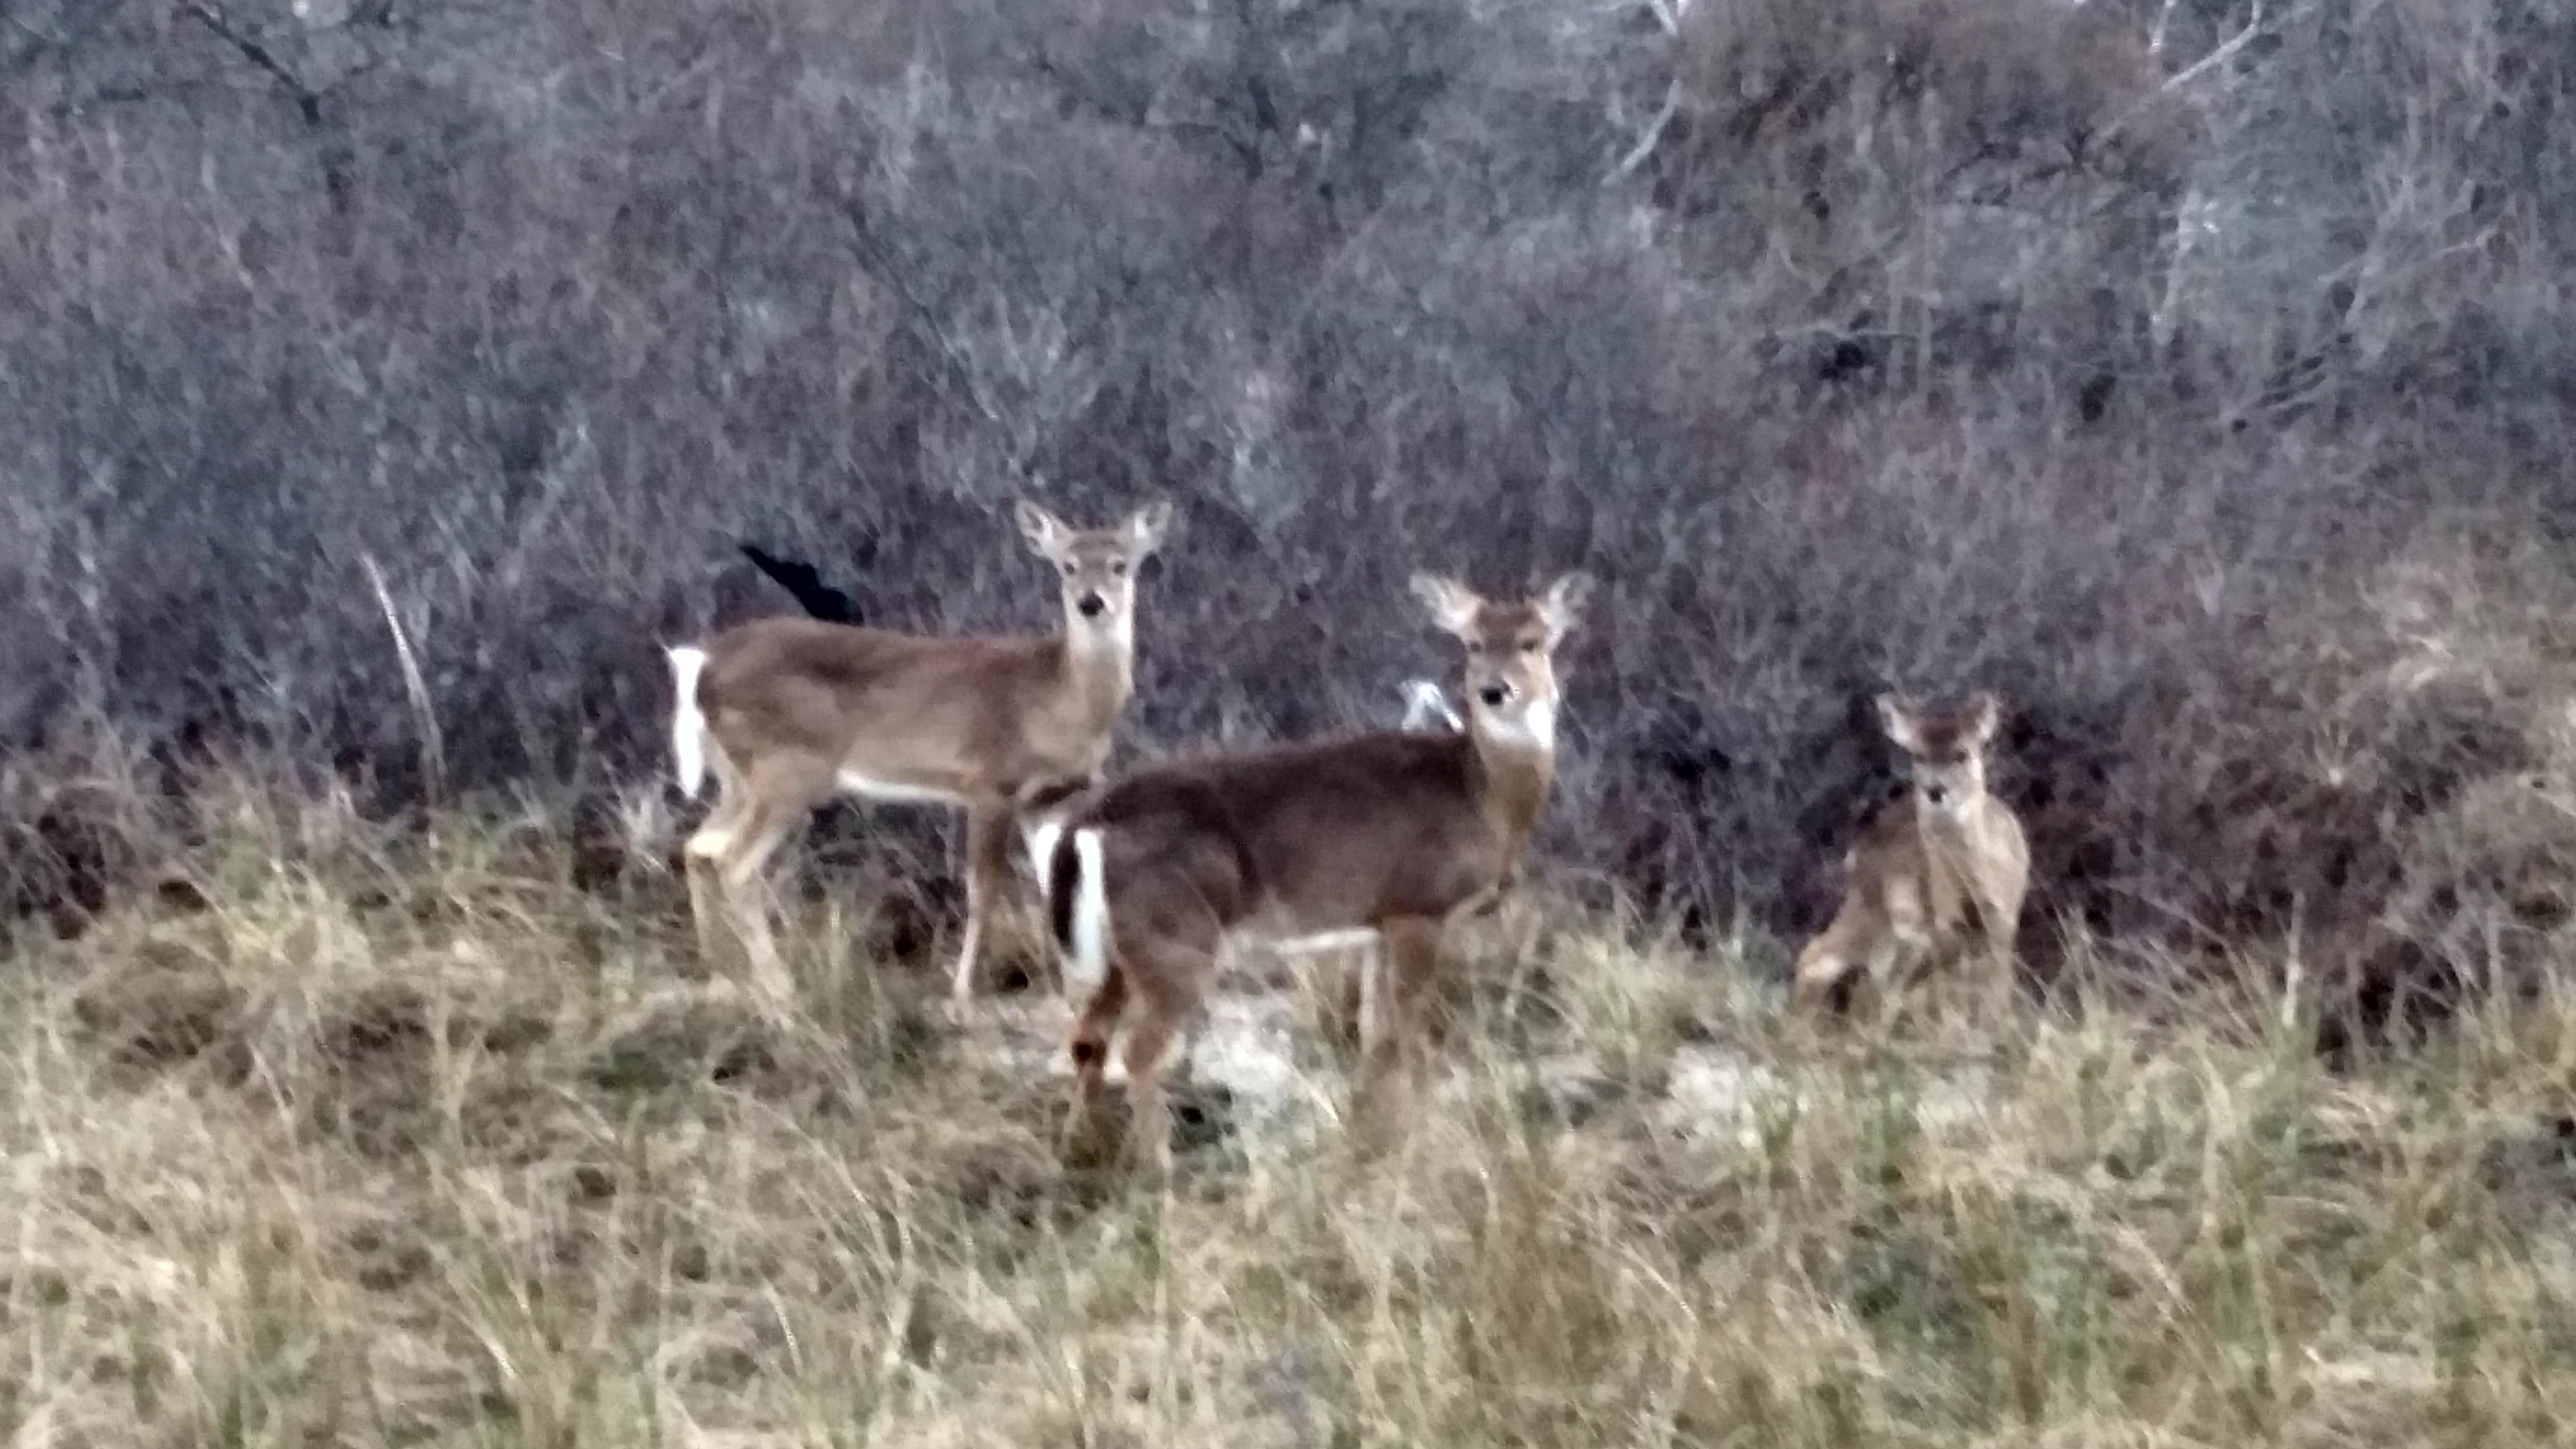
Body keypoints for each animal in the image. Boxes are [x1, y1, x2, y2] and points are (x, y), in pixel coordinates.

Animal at [670, 495, 1180, 1005]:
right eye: (1068, 566)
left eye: (1120, 565)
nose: (1090, 603)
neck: (1056, 697)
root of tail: (703, 664)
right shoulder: (990, 784)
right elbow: (983, 890)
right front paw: (963, 991)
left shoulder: (1048, 796)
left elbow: (1052, 884)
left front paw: (1077, 991)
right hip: (787, 770)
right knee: (735, 864)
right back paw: (779, 986)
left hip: (738, 776)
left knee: (699, 848)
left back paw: (722, 977)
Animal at [1035, 567, 1576, 1176]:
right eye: (1474, 644)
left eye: (1533, 642)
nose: (1494, 690)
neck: (1482, 793)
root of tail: (1087, 821)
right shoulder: (1421, 906)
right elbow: (1408, 1033)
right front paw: (1414, 1134)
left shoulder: (1379, 922)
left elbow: (1375, 1035)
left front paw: (1371, 1130)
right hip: (1175, 936)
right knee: (1140, 1049)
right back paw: (1159, 1166)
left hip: (1121, 949)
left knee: (1088, 1036)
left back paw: (1080, 1150)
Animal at [1793, 686, 2030, 1016]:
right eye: (1918, 755)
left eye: (1962, 754)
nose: (1936, 791)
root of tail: (1858, 850)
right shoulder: (1942, 928)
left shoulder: (2003, 922)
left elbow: (1997, 986)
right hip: (1876, 909)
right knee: (1822, 960)